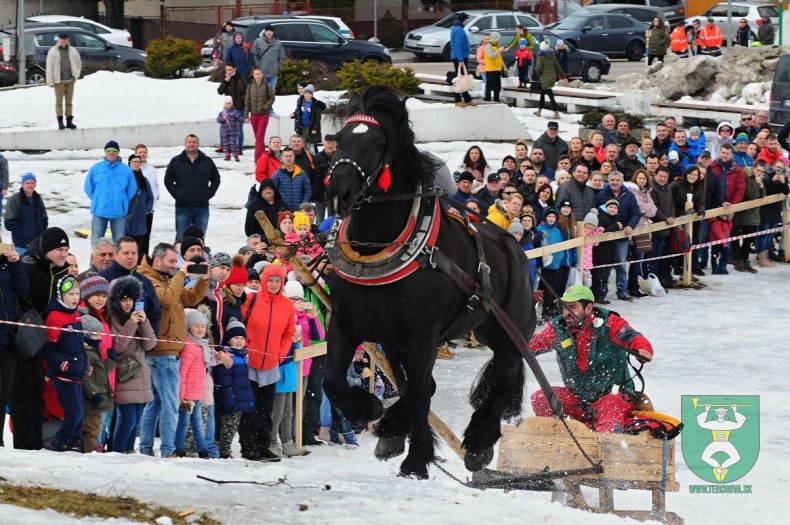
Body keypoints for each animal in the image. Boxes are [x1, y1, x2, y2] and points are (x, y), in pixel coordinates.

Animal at [324, 86, 540, 478]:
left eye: (378, 144)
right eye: (339, 139)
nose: (339, 192)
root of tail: (514, 247)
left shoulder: (422, 337)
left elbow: (418, 396)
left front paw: (416, 460)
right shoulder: (347, 324)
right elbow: (333, 382)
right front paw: (372, 411)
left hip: (507, 331)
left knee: (504, 377)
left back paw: (479, 442)